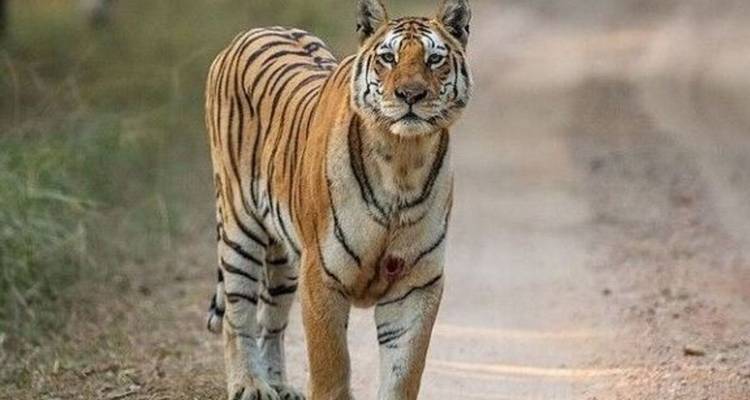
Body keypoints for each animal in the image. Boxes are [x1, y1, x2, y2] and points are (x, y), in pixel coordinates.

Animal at [204, 0, 472, 399]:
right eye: (388, 58)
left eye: (434, 59)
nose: (410, 95)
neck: (403, 160)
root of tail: (252, 31)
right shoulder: (321, 275)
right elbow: (330, 368)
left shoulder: (417, 282)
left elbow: (403, 373)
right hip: (239, 226)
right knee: (238, 313)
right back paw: (250, 385)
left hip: (285, 257)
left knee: (272, 318)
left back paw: (279, 384)